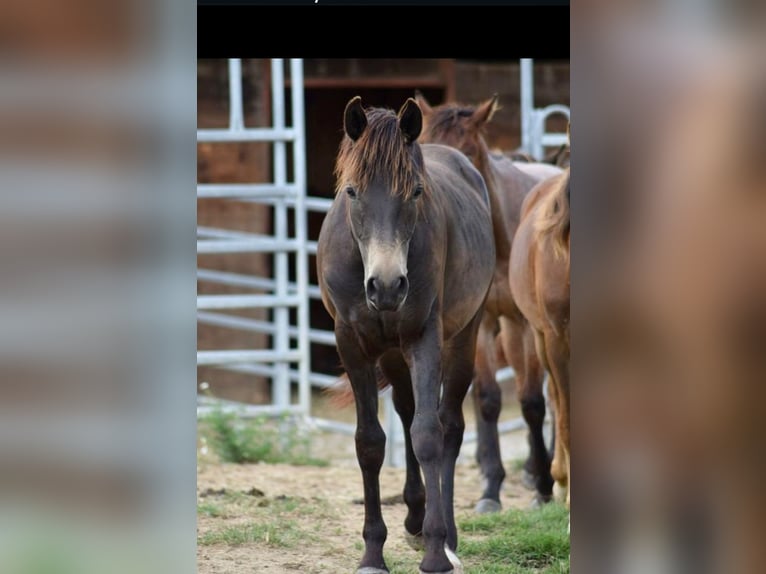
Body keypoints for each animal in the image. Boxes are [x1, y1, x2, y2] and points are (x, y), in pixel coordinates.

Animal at [318, 98, 498, 574]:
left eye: (415, 192)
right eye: (352, 192)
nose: (386, 286)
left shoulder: (424, 338)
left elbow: (428, 435)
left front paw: (437, 551)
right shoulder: (354, 344)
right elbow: (369, 443)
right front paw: (372, 553)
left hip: (462, 339)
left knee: (449, 425)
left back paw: (445, 534)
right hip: (393, 355)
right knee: (404, 407)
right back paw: (415, 515)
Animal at [416, 92, 560, 510]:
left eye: (467, 152)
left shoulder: (522, 324)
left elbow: (530, 402)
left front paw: (543, 485)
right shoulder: (480, 324)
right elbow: (488, 401)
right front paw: (491, 489)